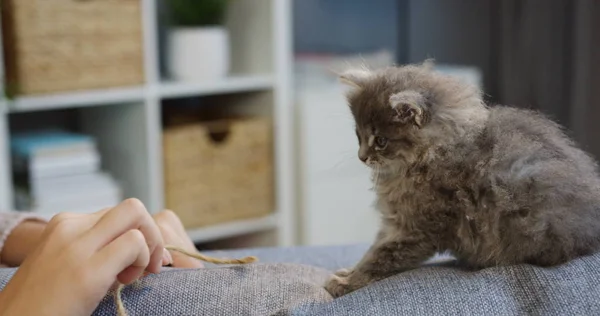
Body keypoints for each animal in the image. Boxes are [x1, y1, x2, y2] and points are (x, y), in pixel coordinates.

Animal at [326, 60, 600, 298]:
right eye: (358, 136)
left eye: (381, 141)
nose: (362, 157)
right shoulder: (396, 221)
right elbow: (373, 249)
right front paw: (348, 272)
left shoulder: (420, 228)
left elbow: (382, 256)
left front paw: (346, 282)